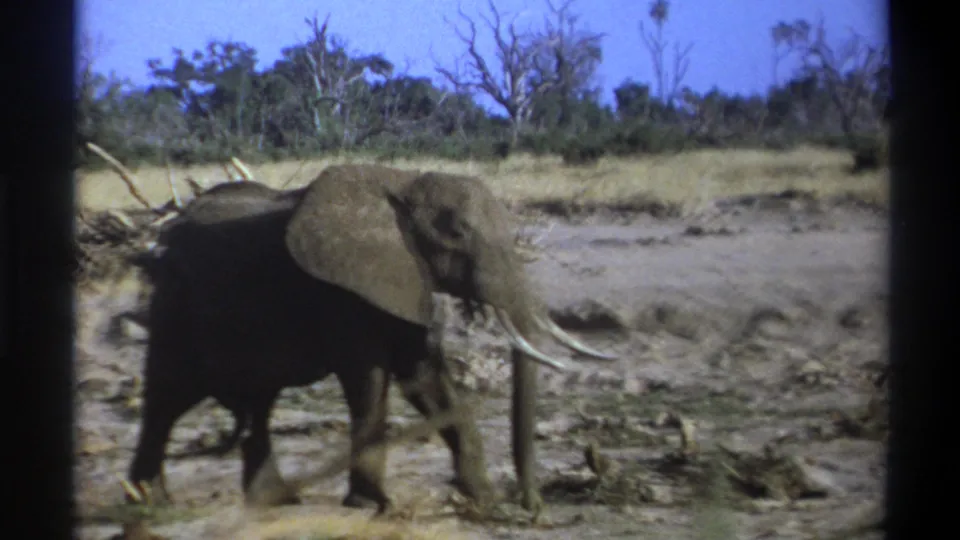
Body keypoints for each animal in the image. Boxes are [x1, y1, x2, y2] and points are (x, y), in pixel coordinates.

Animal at [124, 163, 616, 514]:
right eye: (457, 234)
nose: (533, 508)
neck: (402, 182)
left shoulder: (405, 279)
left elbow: (425, 380)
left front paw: (482, 500)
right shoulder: (344, 293)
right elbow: (370, 381)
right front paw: (374, 505)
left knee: (257, 403)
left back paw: (273, 500)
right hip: (176, 306)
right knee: (167, 398)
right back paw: (149, 502)